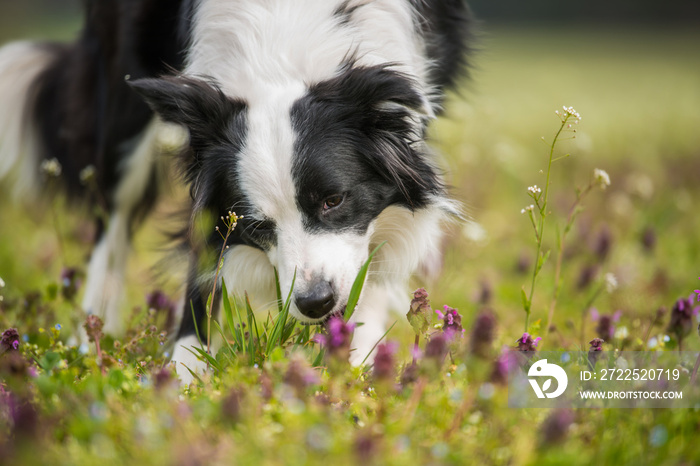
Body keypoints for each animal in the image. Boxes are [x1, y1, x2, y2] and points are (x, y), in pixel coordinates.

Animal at [1, 0, 470, 382]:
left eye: (333, 200)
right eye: (257, 226)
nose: (315, 303)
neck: (283, 50)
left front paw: (355, 365)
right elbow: (203, 262)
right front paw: (182, 377)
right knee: (112, 215)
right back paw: (91, 338)